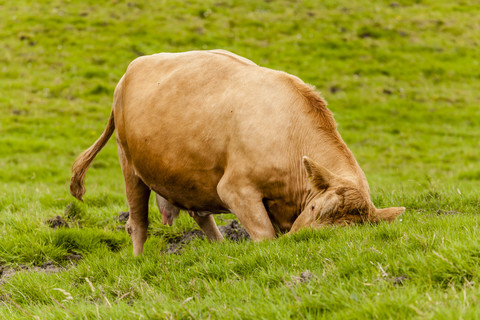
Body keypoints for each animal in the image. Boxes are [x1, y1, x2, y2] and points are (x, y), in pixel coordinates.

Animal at [69, 49, 404, 255]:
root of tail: (131, 69)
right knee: (137, 222)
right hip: (129, 163)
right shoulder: (236, 189)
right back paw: (138, 261)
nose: (300, 240)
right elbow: (265, 236)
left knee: (201, 216)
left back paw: (220, 248)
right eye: (312, 209)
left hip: (190, 176)